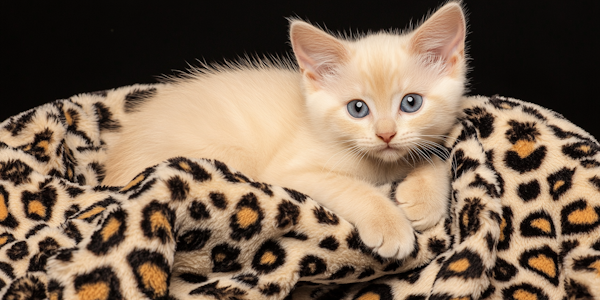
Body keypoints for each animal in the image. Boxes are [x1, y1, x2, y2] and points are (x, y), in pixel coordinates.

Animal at [104, 1, 468, 260]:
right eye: (357, 109)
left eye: (411, 103)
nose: (386, 134)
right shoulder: (291, 171)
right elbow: (351, 187)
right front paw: (391, 224)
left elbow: (435, 153)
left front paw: (422, 199)